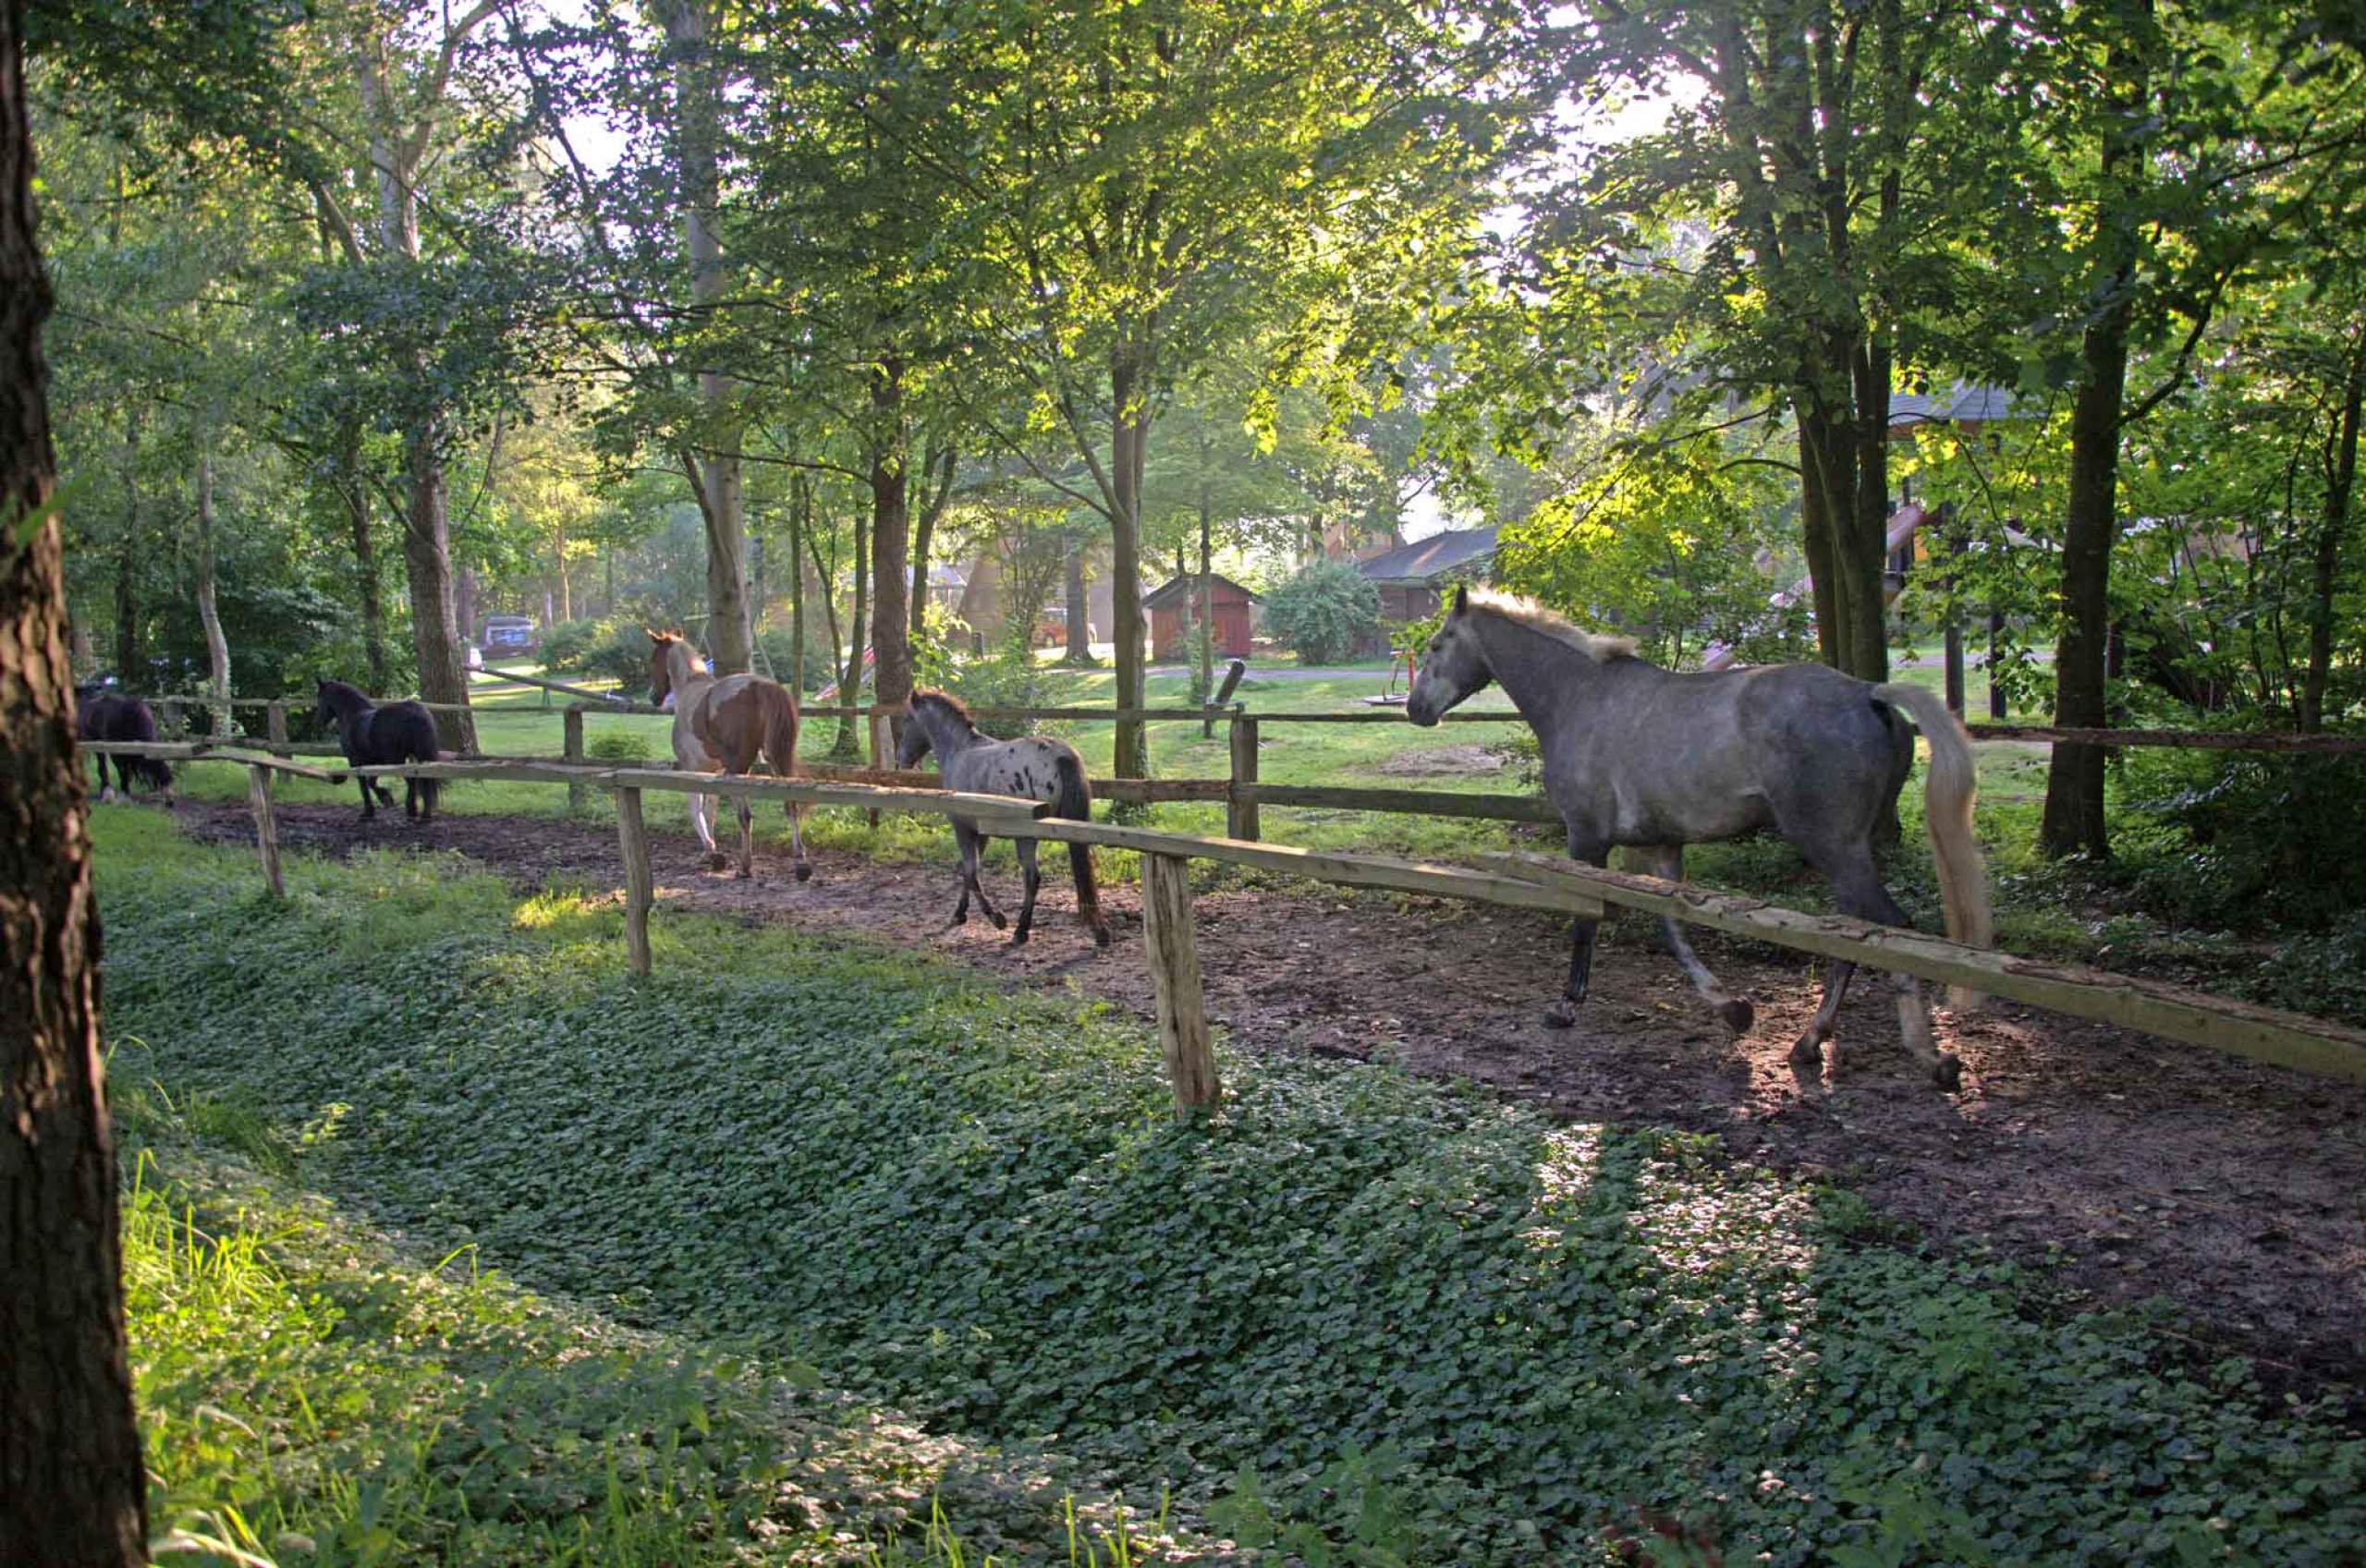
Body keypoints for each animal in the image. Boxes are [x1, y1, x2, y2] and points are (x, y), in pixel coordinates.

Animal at [315, 679, 442, 822]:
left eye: (320, 697)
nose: (318, 721)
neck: (353, 716)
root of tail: (414, 710)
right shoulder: (375, 761)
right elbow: (371, 781)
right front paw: (384, 800)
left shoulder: (356, 761)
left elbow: (364, 784)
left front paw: (373, 808)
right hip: (418, 756)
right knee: (423, 779)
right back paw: (423, 814)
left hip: (396, 759)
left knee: (412, 780)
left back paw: (413, 810)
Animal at [646, 630, 810, 882]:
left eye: (653, 660)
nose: (653, 697)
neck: (689, 689)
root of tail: (760, 686)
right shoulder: (715, 772)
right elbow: (709, 811)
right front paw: (711, 850)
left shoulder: (692, 769)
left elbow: (697, 811)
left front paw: (711, 852)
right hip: (777, 763)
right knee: (790, 805)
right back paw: (800, 861)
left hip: (739, 770)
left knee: (745, 815)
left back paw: (745, 865)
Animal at [897, 690, 1109, 948]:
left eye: (907, 719)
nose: (901, 759)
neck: (961, 751)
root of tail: (1060, 755)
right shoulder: (980, 832)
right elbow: (970, 871)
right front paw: (960, 914)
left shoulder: (962, 827)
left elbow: (971, 871)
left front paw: (995, 918)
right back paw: (1099, 932)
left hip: (1026, 837)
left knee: (1032, 877)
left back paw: (1021, 931)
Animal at [1408, 586, 1990, 1089]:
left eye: (1438, 644)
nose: (1415, 710)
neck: (1580, 699)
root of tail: (1869, 692)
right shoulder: (1661, 847)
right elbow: (1672, 926)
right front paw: (1731, 1009)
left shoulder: (1586, 840)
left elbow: (1586, 923)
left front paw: (1566, 1007)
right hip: (1858, 848)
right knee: (1856, 935)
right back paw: (1821, 1044)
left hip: (1834, 847)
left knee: (1884, 930)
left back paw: (1909, 1052)